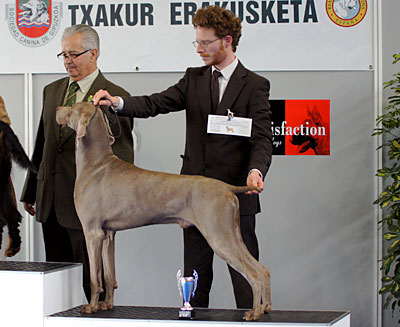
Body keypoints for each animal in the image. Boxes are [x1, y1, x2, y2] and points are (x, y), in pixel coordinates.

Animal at [54, 102, 270, 320]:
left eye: (72, 107)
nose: (57, 109)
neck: (96, 163)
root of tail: (226, 187)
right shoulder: (107, 234)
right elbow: (108, 276)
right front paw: (106, 305)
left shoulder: (92, 232)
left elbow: (94, 277)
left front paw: (91, 307)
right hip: (232, 234)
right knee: (262, 269)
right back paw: (266, 307)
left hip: (219, 237)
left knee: (253, 274)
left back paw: (254, 313)